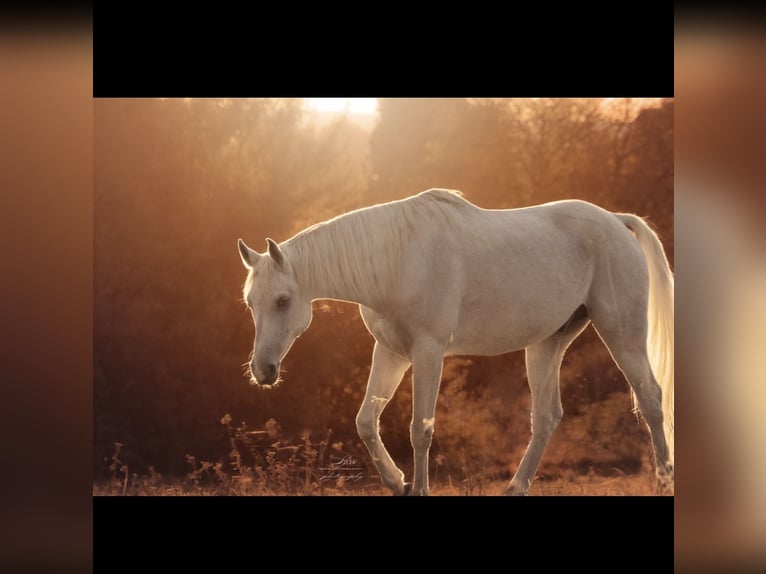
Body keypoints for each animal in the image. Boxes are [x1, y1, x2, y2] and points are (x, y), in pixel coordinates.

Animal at [237, 189, 674, 495]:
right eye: (250, 302)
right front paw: (398, 483)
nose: (263, 370)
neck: (398, 261)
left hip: (622, 334)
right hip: (548, 343)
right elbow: (365, 421)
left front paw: (418, 489)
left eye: (282, 300)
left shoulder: (428, 353)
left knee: (651, 398)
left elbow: (421, 428)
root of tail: (616, 221)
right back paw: (515, 488)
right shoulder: (391, 352)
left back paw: (663, 482)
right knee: (547, 417)